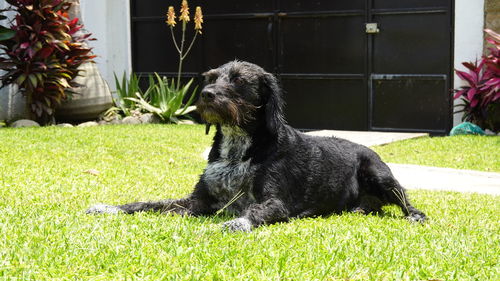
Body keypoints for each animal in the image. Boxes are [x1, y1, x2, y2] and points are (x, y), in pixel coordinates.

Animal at [87, 60, 426, 231]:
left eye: (238, 80)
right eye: (210, 78)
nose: (206, 94)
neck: (238, 148)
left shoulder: (276, 203)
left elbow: (254, 211)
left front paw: (235, 224)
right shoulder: (197, 200)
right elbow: (147, 204)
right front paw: (110, 207)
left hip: (381, 175)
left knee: (408, 203)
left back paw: (414, 215)